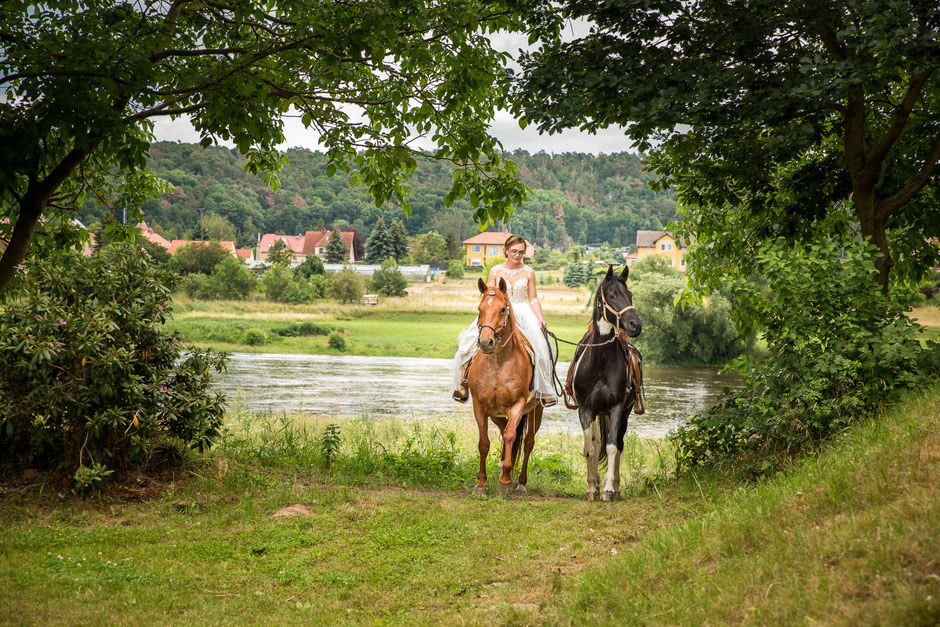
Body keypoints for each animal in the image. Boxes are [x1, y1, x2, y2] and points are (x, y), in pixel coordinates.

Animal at [467, 277, 543, 497]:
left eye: (502, 309)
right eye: (480, 308)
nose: (486, 342)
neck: (498, 362)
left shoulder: (517, 405)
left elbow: (511, 436)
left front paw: (505, 481)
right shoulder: (480, 406)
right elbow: (484, 443)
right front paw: (480, 484)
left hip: (535, 411)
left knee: (527, 442)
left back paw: (520, 484)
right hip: (496, 414)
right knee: (503, 432)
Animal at [569, 264, 643, 501]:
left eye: (630, 294)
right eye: (612, 295)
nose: (635, 325)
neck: (600, 363)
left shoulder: (617, 408)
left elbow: (611, 447)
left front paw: (609, 489)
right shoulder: (585, 410)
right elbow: (590, 448)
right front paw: (592, 487)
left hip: (623, 413)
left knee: (618, 444)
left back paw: (616, 488)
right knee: (596, 442)